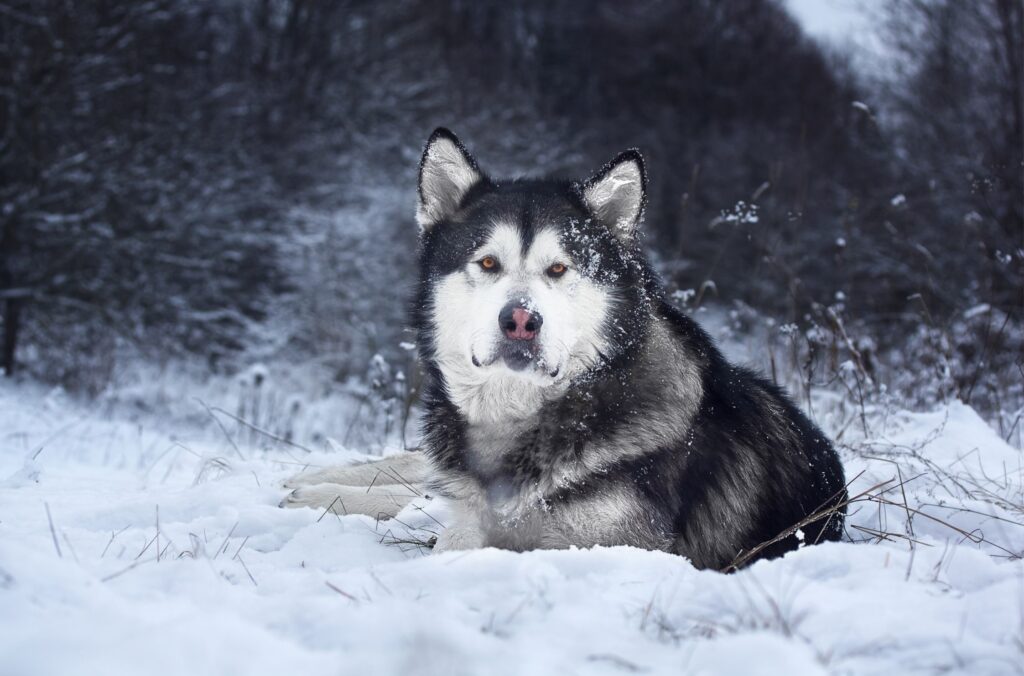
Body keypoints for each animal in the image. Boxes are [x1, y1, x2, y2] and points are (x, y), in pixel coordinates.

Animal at [284, 128, 843, 569]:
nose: (521, 321)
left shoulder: (614, 546)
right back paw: (314, 484)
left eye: (558, 269)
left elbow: (456, 536)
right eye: (488, 263)